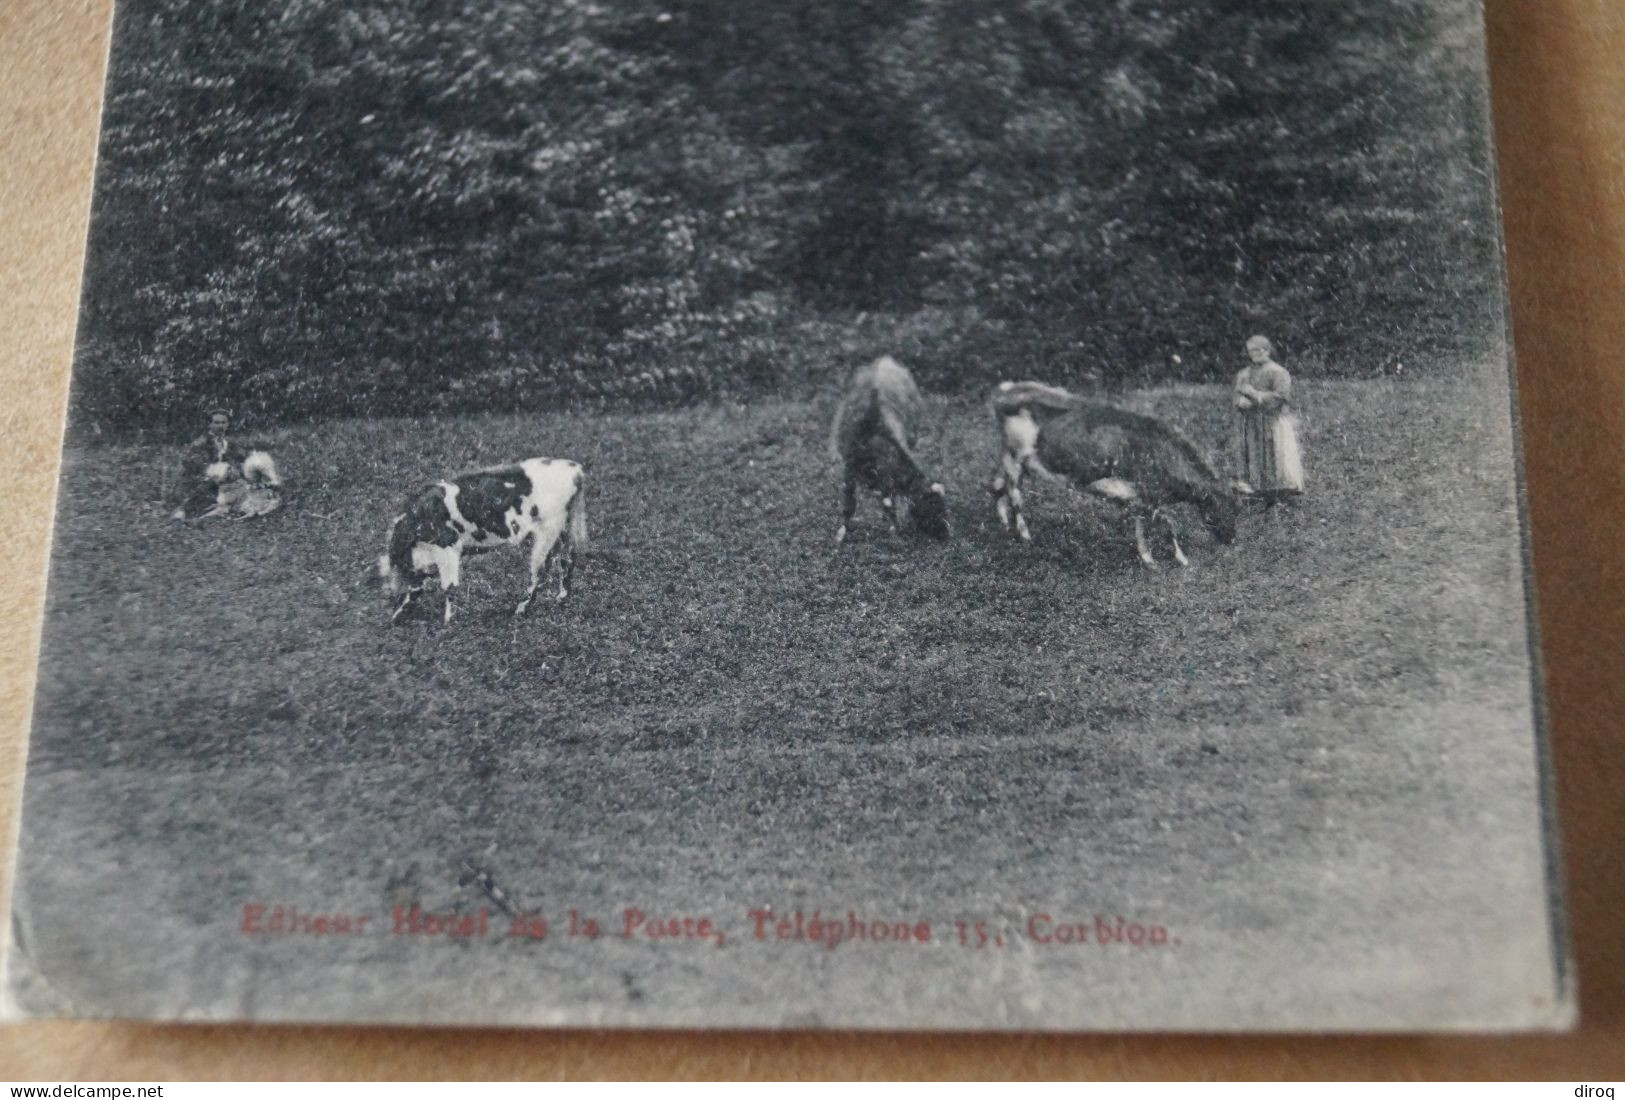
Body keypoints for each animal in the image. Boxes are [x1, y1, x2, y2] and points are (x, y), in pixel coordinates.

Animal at [373, 458, 591, 627]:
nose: (390, 612)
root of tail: (574, 469)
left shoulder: (448, 547)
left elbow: (449, 586)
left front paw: (447, 622)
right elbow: (418, 588)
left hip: (547, 531)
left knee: (540, 572)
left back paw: (521, 609)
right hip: (565, 528)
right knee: (567, 559)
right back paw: (562, 597)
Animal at [832, 355, 949, 539]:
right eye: (931, 506)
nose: (947, 536)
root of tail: (885, 360)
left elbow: (888, 503)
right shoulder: (849, 470)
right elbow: (850, 504)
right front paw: (842, 533)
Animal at [988, 376, 1228, 565]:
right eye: (1228, 505)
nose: (1231, 541)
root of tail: (1008, 388)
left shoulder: (1141, 499)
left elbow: (1146, 523)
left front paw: (1153, 557)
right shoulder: (1140, 494)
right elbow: (1168, 523)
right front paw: (1172, 559)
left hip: (1016, 460)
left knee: (998, 485)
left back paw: (1005, 524)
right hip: (1016, 456)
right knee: (1014, 494)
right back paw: (1025, 534)